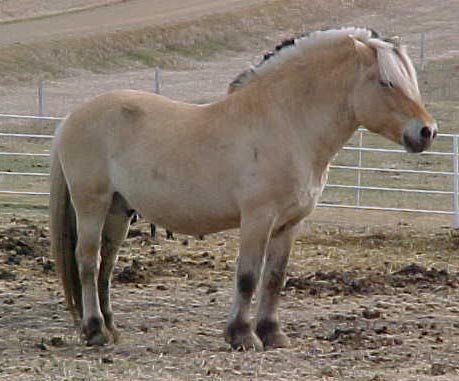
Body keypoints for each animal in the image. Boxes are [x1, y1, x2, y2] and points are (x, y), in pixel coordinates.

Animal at [50, 26, 438, 348]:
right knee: (88, 260)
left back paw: (110, 327)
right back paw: (95, 330)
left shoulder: (289, 224)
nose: (427, 132)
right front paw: (241, 335)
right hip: (92, 205)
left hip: (119, 209)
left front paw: (272, 333)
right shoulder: (257, 219)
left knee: (107, 264)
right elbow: (248, 276)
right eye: (386, 82)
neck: (286, 123)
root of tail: (72, 117)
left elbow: (274, 278)